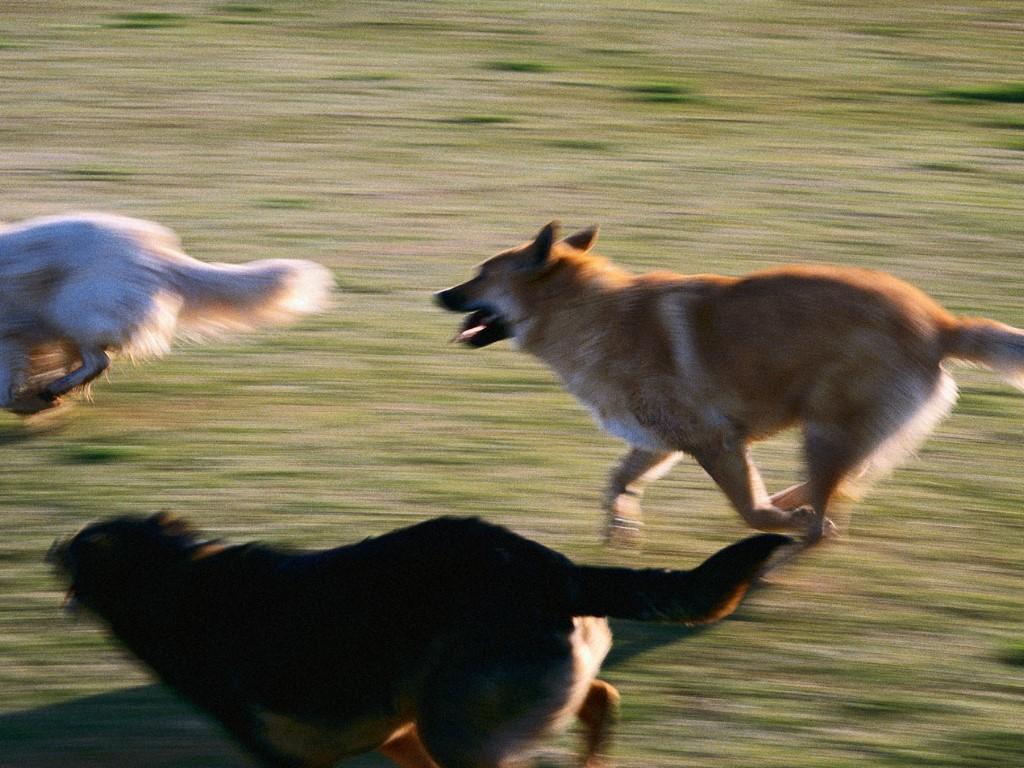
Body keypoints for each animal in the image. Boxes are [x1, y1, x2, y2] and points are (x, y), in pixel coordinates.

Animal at [0, 211, 331, 415]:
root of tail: (159, 254)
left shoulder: (11, 335)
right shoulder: (16, 336)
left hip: (73, 310)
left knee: (98, 360)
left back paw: (53, 390)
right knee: (91, 360)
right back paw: (51, 391)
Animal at [49, 512, 790, 768]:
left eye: (79, 551)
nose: (51, 551)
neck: (176, 578)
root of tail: (559, 571)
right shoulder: (399, 735)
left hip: (460, 729)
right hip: (483, 707)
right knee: (602, 696)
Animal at [434, 225, 1024, 544]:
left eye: (480, 274)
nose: (438, 293)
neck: (588, 312)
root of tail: (940, 325)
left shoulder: (714, 441)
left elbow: (746, 508)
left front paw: (773, 519)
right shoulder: (659, 442)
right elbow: (618, 483)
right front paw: (621, 529)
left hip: (825, 429)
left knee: (827, 509)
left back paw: (798, 528)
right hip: (837, 435)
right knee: (843, 486)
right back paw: (799, 509)